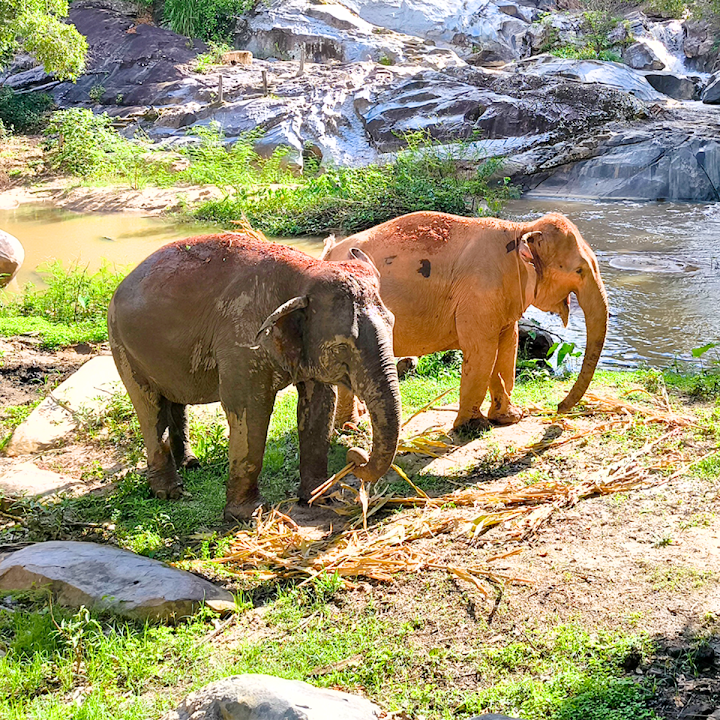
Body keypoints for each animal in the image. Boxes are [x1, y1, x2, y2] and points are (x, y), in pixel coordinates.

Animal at [108, 230, 402, 521]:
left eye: (393, 324)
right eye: (342, 346)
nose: (356, 456)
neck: (305, 274)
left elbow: (320, 403)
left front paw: (320, 498)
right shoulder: (240, 341)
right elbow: (250, 408)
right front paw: (248, 515)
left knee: (174, 399)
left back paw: (190, 464)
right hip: (122, 345)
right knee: (149, 406)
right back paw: (170, 492)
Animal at [321, 211, 608, 431]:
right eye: (579, 270)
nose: (558, 408)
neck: (521, 230)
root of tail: (328, 252)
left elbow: (508, 347)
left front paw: (509, 417)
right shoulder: (479, 293)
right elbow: (482, 352)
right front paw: (473, 426)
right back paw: (351, 427)